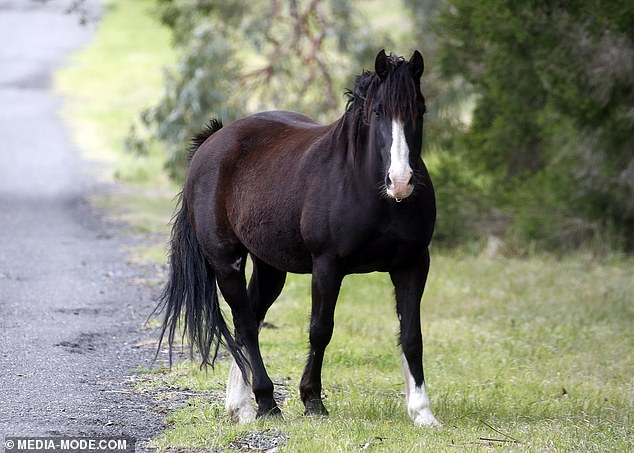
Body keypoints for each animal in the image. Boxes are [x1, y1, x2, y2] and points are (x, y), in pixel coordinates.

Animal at [157, 50, 440, 428]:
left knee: (251, 319)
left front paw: (422, 412)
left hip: (270, 268)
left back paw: (240, 405)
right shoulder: (327, 266)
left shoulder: (412, 264)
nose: (401, 181)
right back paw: (265, 402)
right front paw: (313, 401)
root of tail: (212, 141)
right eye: (379, 111)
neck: (366, 187)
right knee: (246, 325)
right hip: (226, 262)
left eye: (419, 110)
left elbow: (411, 335)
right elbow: (320, 330)